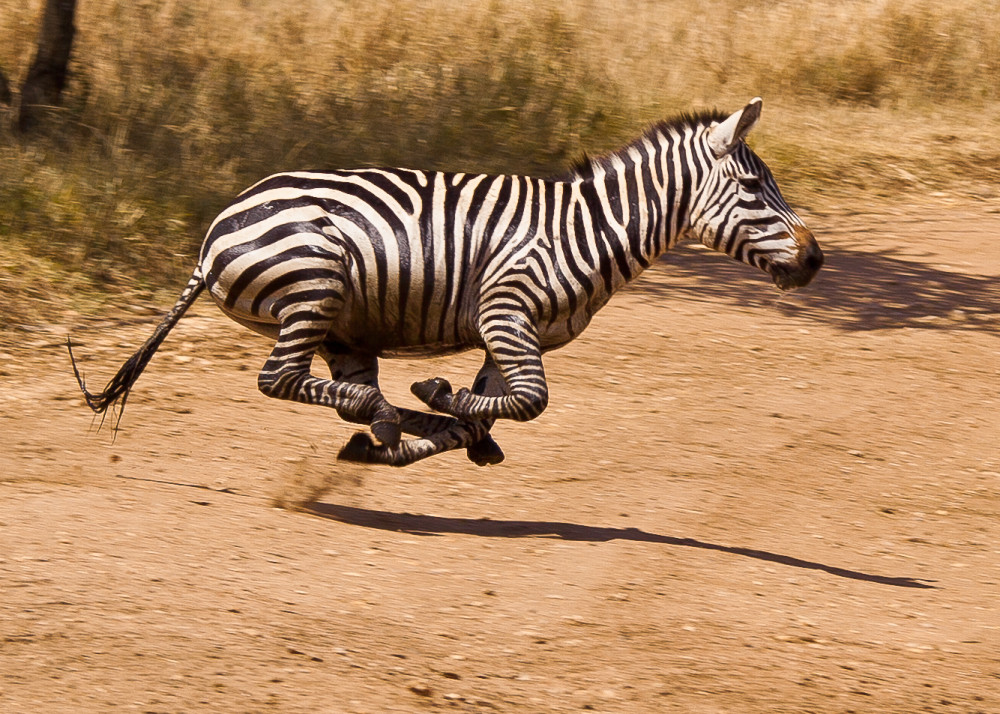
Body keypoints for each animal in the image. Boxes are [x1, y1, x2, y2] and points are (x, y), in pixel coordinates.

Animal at [68, 97, 822, 467]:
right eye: (752, 188)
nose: (816, 260)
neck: (590, 226)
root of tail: (214, 233)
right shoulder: (505, 311)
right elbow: (530, 403)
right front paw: (442, 397)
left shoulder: (513, 334)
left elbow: (494, 410)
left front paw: (448, 420)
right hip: (315, 288)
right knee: (280, 380)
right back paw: (382, 414)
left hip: (344, 327)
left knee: (339, 396)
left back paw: (382, 423)